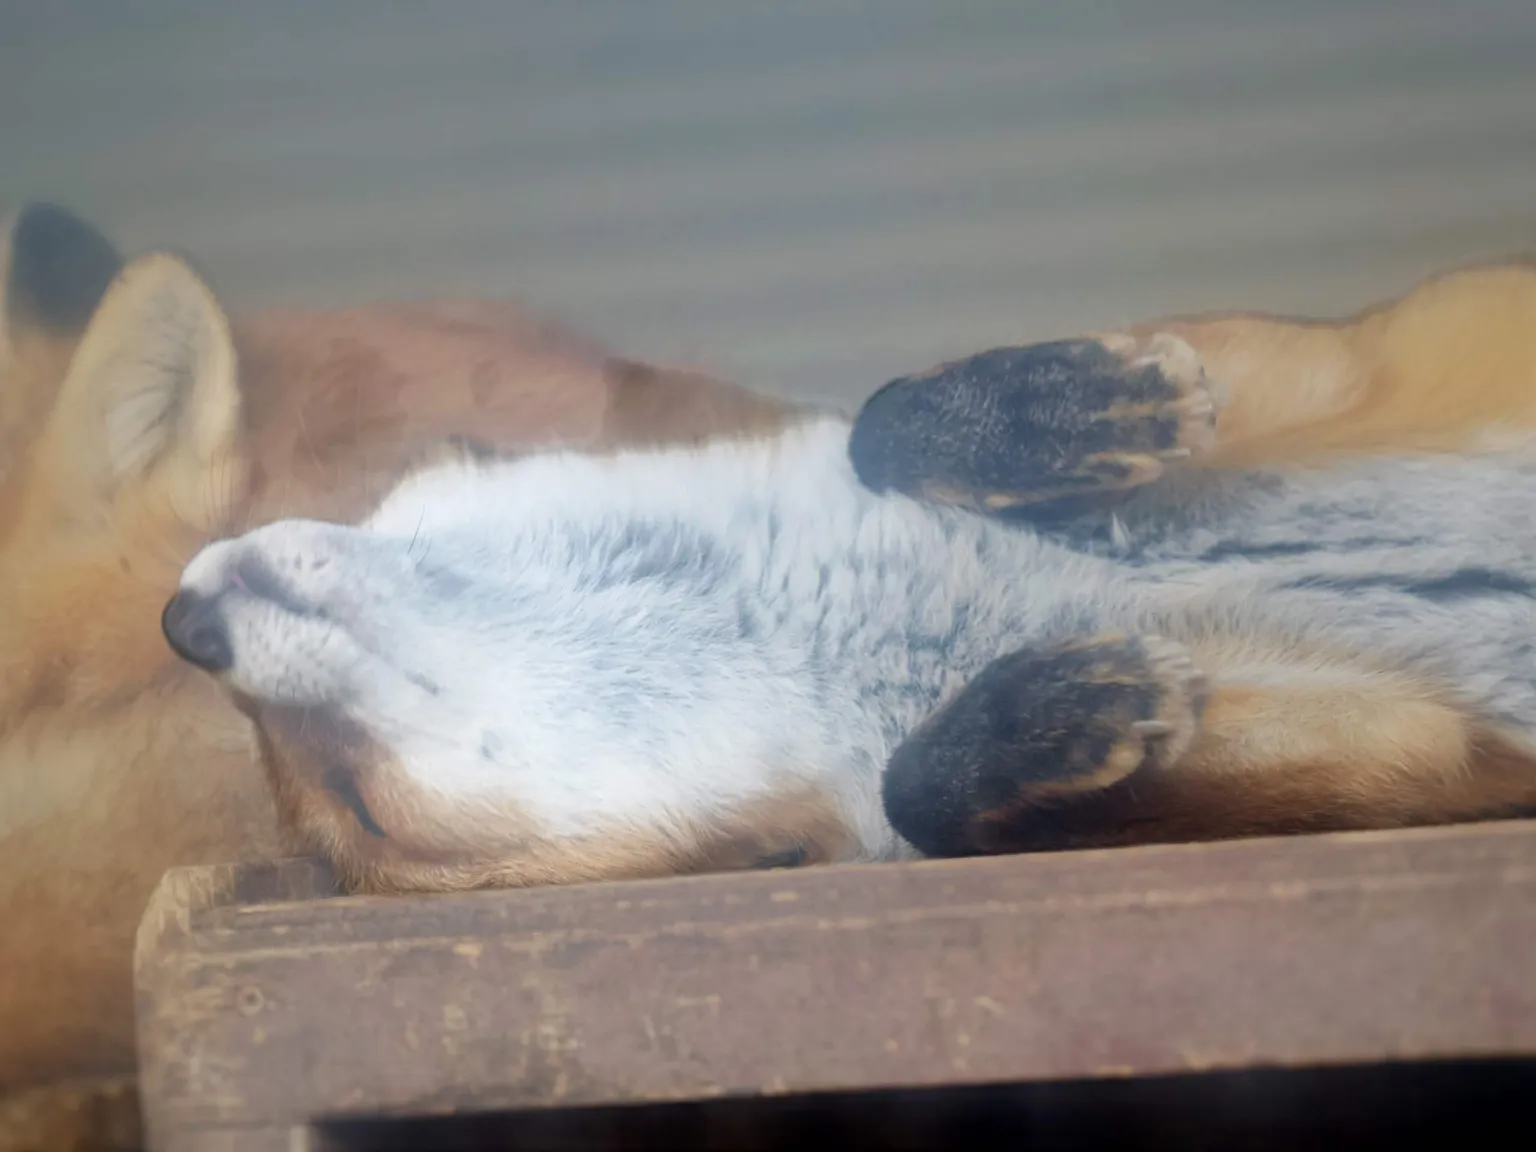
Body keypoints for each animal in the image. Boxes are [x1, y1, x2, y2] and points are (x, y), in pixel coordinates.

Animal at [161, 261, 1536, 895]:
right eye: (367, 813)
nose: (183, 625)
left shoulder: (1321, 362)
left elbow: (882, 425)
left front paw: (1067, 407)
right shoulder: (1404, 751)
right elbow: (918, 795)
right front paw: (1046, 720)